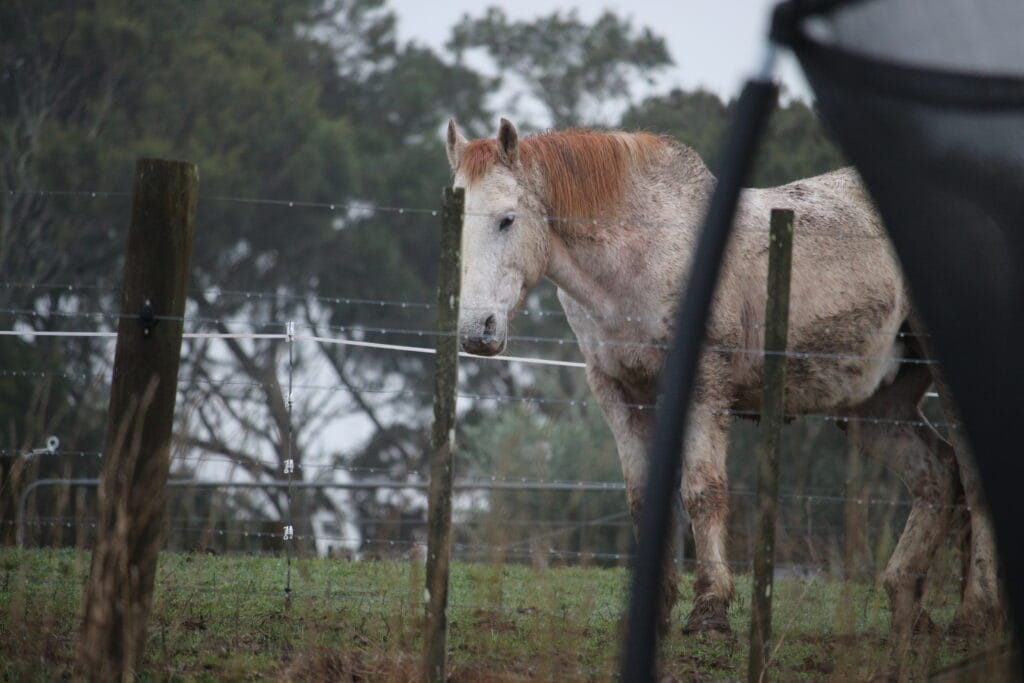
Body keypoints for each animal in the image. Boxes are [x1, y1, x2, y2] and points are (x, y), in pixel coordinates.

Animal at [445, 117, 1001, 636]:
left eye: (507, 219)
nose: (477, 330)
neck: (645, 251)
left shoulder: (704, 385)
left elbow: (702, 490)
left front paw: (710, 610)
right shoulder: (619, 393)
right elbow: (644, 498)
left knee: (973, 480)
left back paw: (974, 613)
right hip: (874, 407)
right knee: (937, 475)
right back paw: (907, 604)